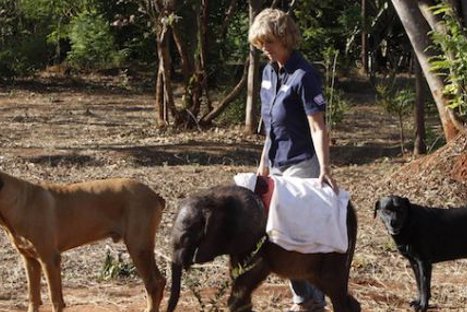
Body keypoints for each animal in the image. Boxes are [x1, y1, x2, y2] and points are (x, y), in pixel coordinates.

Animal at [0, 171, 166, 312]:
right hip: (143, 248)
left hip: (138, 247)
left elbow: (55, 299)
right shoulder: (30, 261)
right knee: (160, 280)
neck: (22, 203)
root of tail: (154, 195)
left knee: (152, 284)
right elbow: (33, 297)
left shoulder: (49, 259)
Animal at [168, 185, 362, 312]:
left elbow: (255, 270)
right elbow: (238, 272)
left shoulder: (254, 235)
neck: (213, 198)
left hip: (335, 249)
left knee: (333, 285)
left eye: (186, 238)